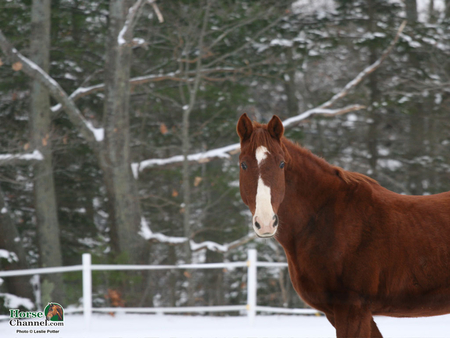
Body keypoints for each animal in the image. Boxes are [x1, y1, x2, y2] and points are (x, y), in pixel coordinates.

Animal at [236, 114, 450, 338]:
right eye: (243, 165)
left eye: (281, 164)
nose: (266, 222)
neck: (325, 218)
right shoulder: (342, 312)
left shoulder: (352, 308)